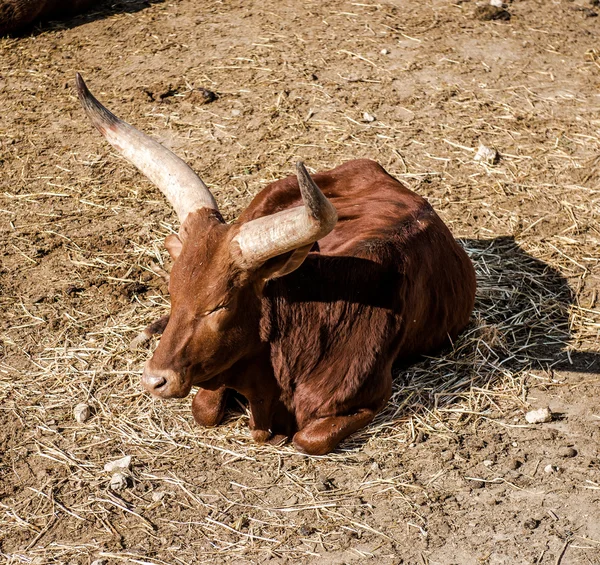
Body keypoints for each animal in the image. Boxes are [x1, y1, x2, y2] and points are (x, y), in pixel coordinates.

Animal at [76, 74, 478, 454]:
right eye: (172, 294)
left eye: (219, 306)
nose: (155, 380)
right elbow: (204, 410)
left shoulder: (371, 398)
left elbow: (307, 440)